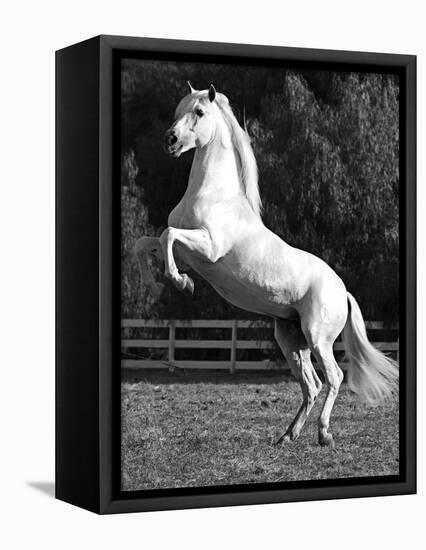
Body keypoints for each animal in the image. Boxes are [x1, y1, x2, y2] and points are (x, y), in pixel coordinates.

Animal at [137, 84, 400, 450]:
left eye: (199, 113)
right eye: (178, 110)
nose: (170, 140)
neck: (214, 195)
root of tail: (343, 291)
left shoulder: (208, 248)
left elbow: (167, 235)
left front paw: (180, 283)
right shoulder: (188, 252)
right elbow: (148, 242)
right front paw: (157, 286)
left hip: (318, 338)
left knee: (334, 377)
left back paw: (324, 434)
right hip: (291, 339)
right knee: (312, 384)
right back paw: (287, 435)